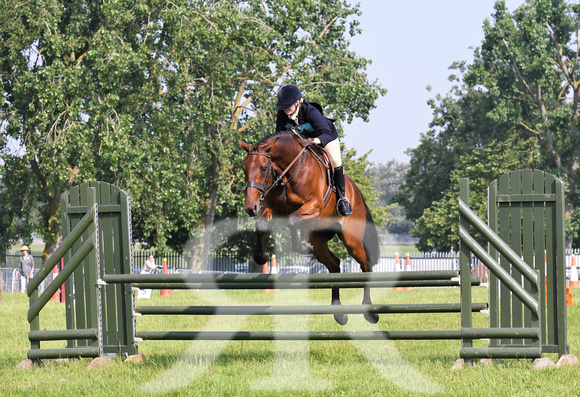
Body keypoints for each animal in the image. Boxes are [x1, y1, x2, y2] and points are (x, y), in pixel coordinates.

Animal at [237, 131, 380, 324]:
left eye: (263, 168)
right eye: (244, 168)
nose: (250, 207)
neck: (289, 172)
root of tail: (356, 193)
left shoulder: (314, 205)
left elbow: (292, 221)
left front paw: (302, 246)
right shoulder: (273, 209)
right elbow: (263, 224)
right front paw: (260, 257)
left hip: (352, 240)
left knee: (366, 265)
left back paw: (369, 311)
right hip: (320, 243)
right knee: (334, 265)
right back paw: (339, 312)